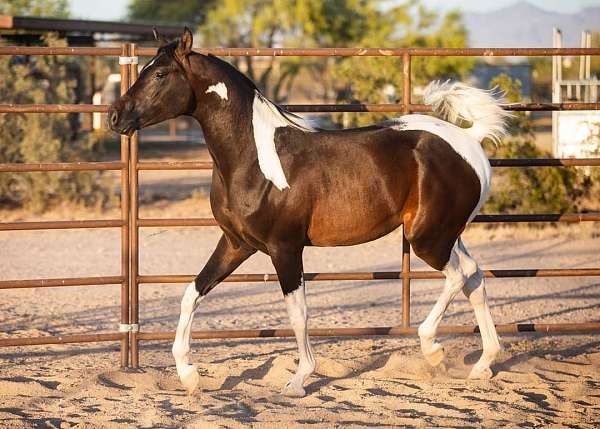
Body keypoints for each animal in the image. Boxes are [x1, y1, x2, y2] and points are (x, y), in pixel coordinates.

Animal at [110, 28, 508, 396]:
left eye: (161, 74)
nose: (115, 116)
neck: (253, 157)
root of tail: (469, 141)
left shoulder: (285, 247)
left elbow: (298, 313)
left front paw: (299, 380)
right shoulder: (236, 244)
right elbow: (191, 293)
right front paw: (189, 375)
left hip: (427, 238)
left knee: (460, 275)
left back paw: (434, 350)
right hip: (447, 234)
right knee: (474, 276)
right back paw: (483, 365)